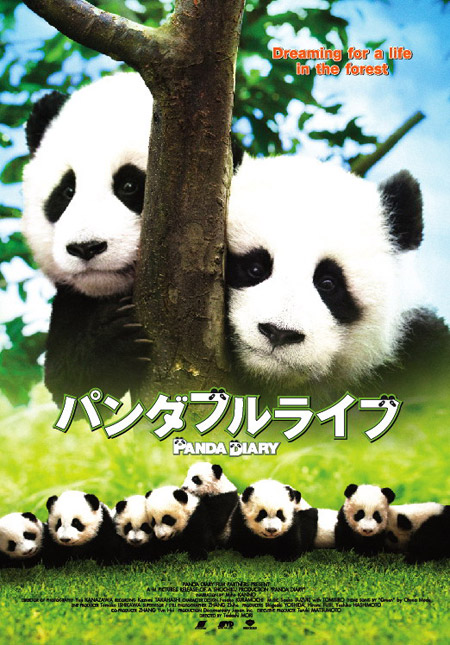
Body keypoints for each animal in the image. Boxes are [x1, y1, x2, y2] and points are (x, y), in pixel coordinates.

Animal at [22, 73, 153, 404]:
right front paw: (112, 343)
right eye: (67, 191)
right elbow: (67, 384)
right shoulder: (74, 299)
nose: (86, 248)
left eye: (129, 186)